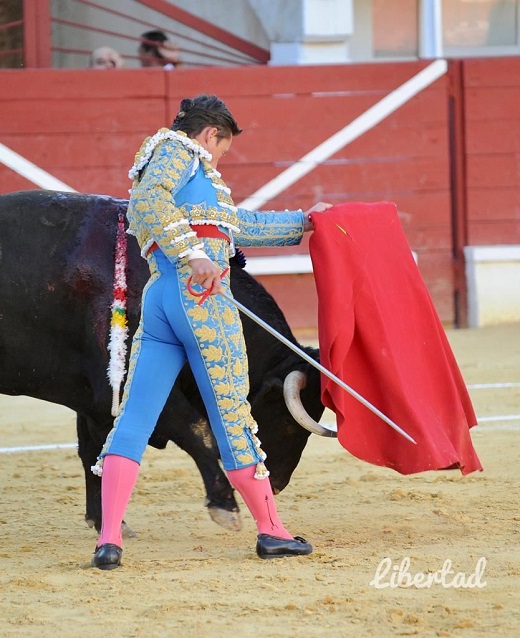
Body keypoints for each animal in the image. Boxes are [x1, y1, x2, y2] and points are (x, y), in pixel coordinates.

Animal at [0, 190, 324, 536]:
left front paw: (105, 521)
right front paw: (225, 506)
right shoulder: (127, 387)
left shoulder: (91, 401)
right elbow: (197, 430)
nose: (276, 483)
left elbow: (93, 449)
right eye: (289, 423)